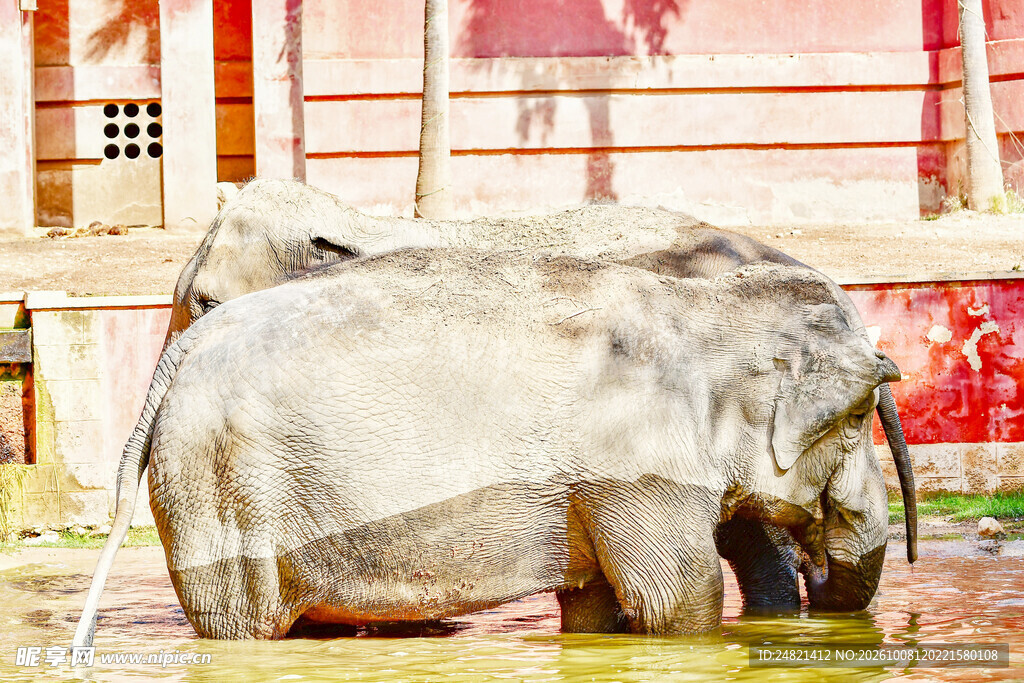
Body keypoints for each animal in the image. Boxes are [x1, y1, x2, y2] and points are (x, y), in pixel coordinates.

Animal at [76, 252, 903, 642]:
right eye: (858, 416)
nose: (816, 569)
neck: (703, 305)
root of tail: (178, 351)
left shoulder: (590, 485)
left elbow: (594, 605)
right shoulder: (637, 468)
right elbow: (678, 598)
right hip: (218, 485)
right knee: (240, 622)